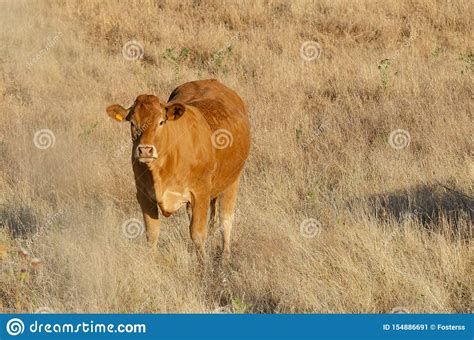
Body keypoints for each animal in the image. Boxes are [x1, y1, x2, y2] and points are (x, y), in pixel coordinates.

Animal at [105, 79, 250, 258]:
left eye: (161, 122)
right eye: (132, 123)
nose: (145, 150)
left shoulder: (200, 194)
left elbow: (197, 234)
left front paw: (203, 264)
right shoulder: (144, 196)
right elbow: (152, 234)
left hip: (233, 180)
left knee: (226, 219)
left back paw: (225, 256)